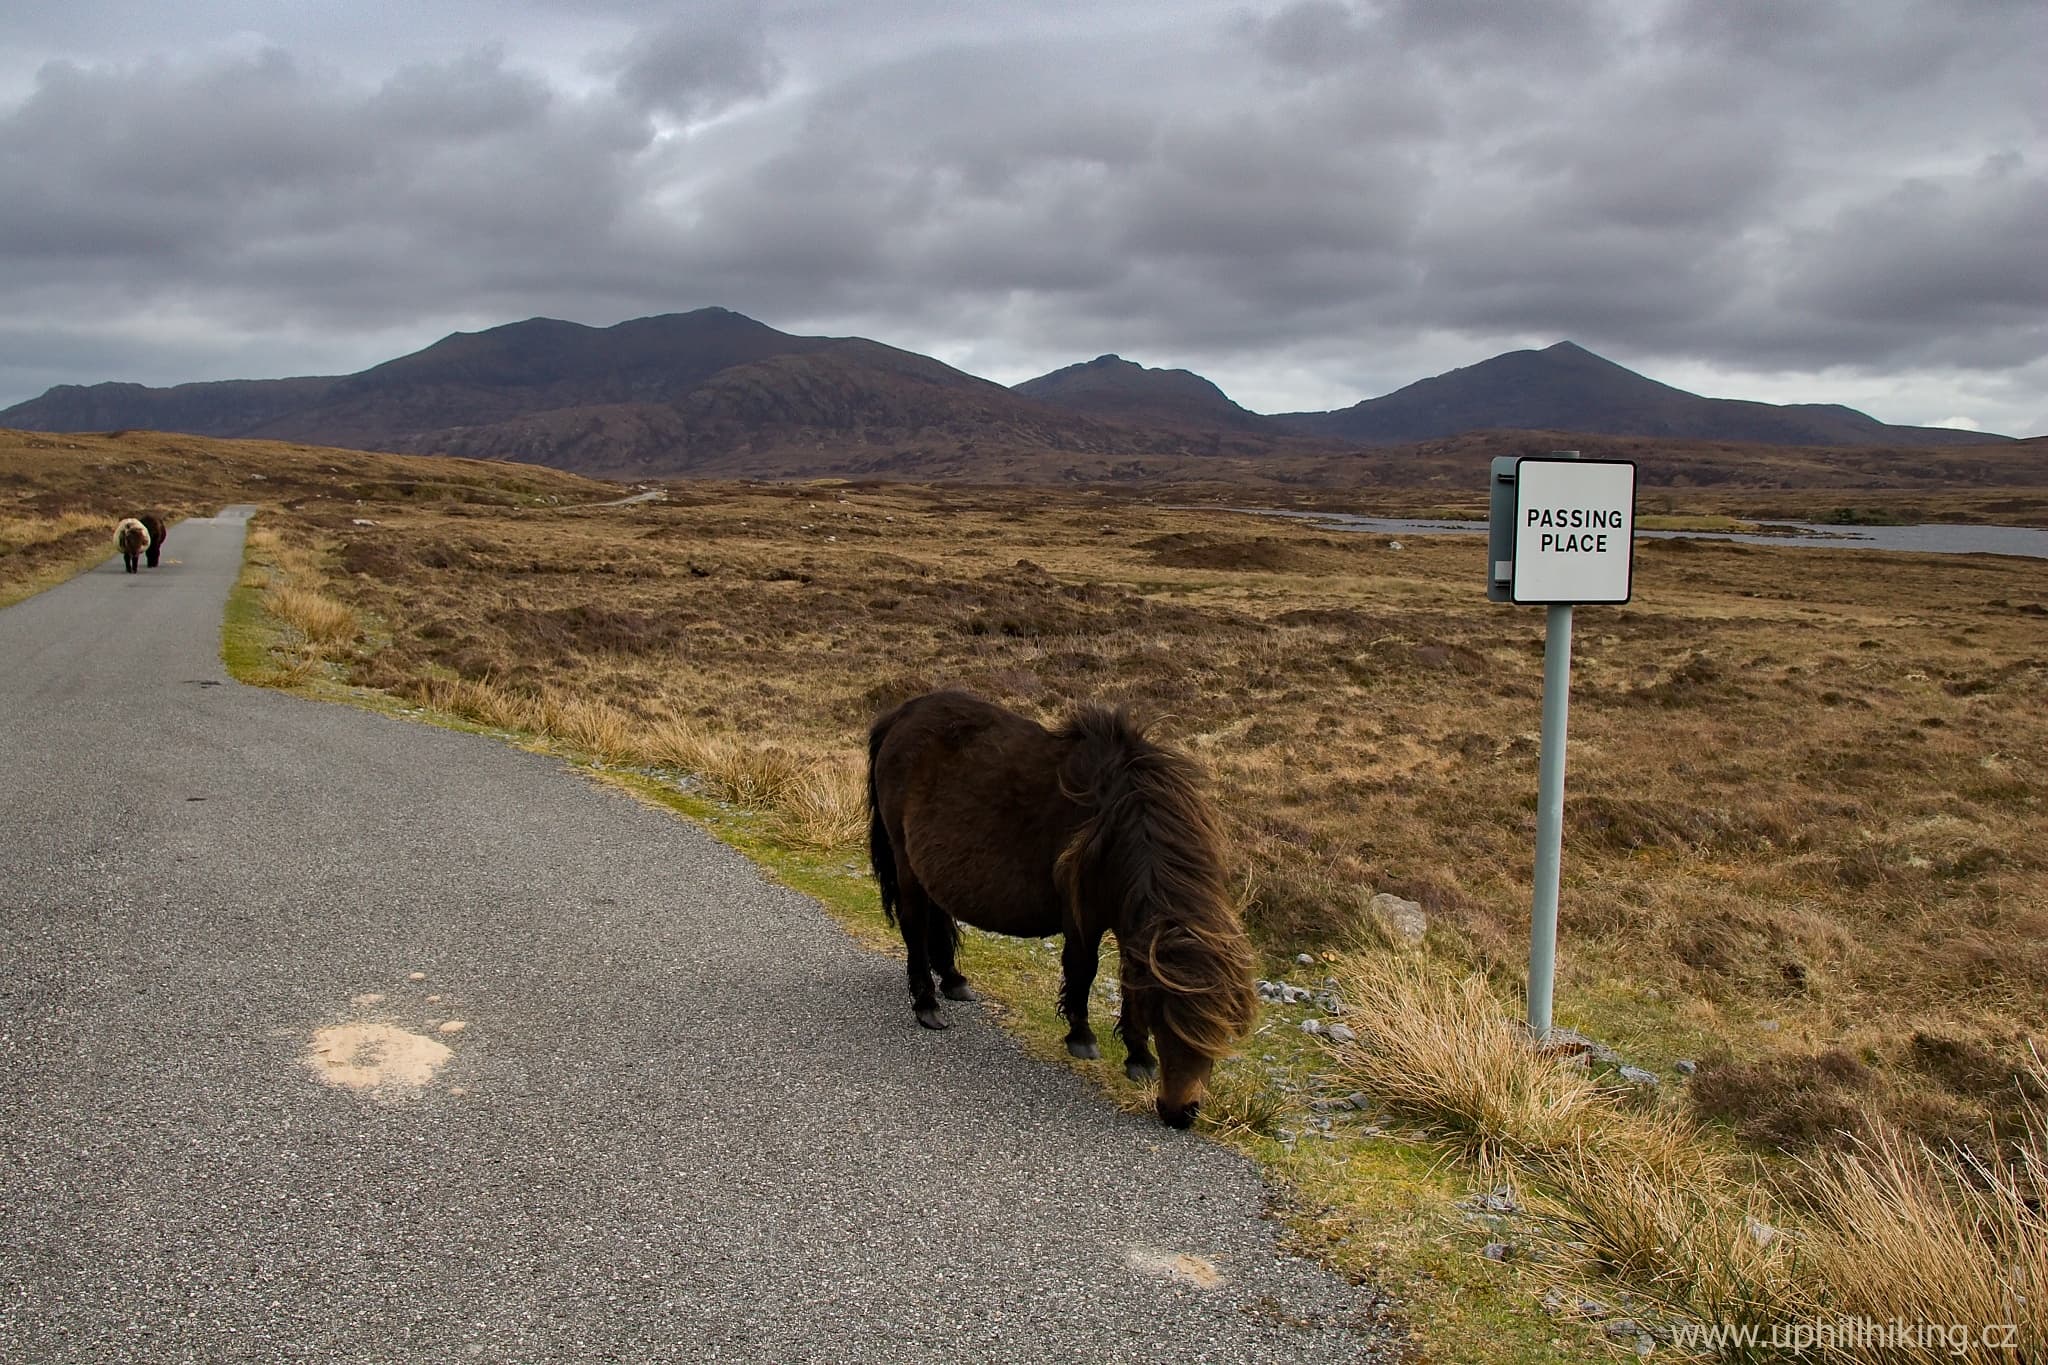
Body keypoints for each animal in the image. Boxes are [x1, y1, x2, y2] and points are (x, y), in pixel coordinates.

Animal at [860, 695, 1253, 1129]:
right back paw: (926, 1005)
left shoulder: (1128, 926)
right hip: (905, 862)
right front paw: (1081, 1036)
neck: (1121, 821)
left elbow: (1130, 982)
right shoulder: (1082, 917)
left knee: (937, 919)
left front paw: (1139, 1057)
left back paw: (953, 979)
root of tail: (901, 715)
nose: (1180, 1113)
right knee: (915, 926)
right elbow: (1083, 971)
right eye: (1165, 1022)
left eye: (1222, 1034)